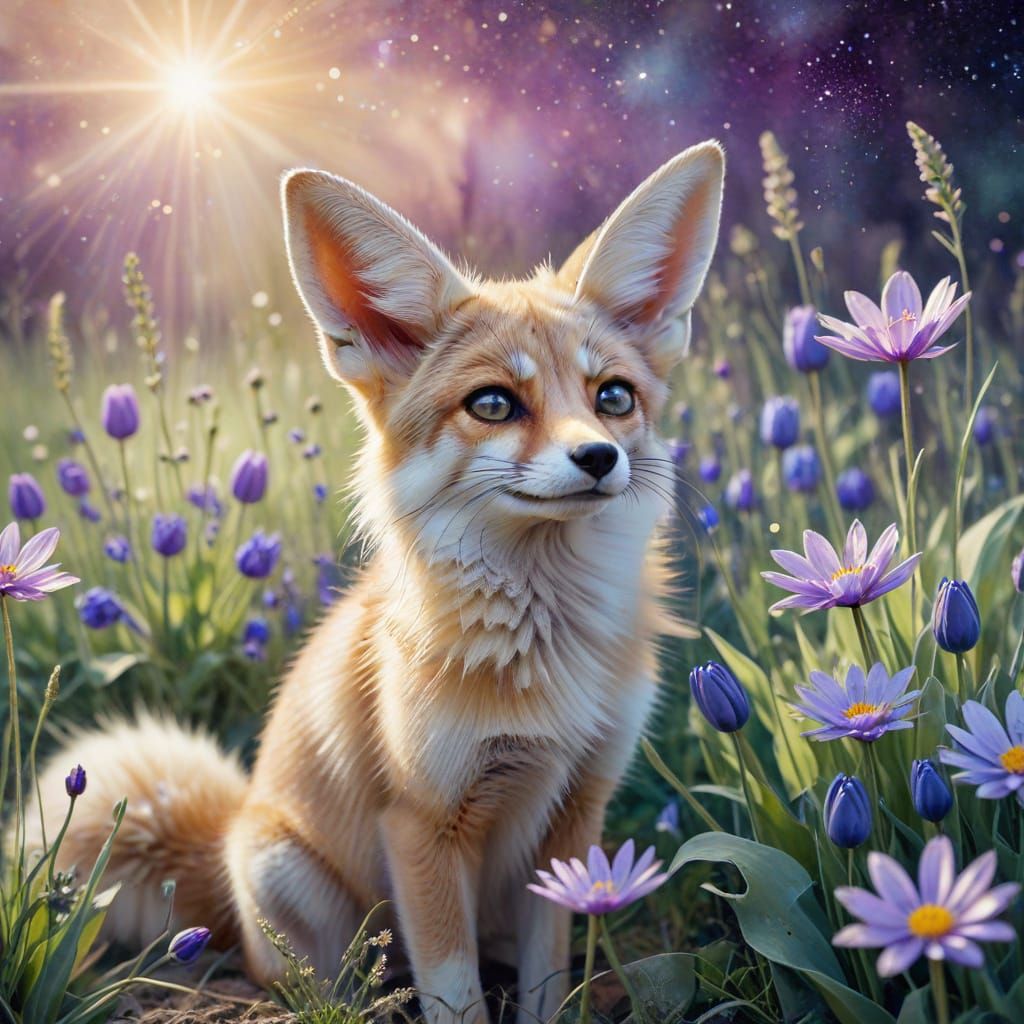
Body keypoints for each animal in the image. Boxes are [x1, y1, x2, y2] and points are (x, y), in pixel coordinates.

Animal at [30, 140, 724, 1024]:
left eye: (613, 397)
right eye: (493, 404)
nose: (598, 457)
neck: (545, 656)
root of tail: (227, 846)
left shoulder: (576, 811)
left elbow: (545, 984)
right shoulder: (422, 825)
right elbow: (455, 993)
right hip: (299, 896)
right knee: (320, 986)